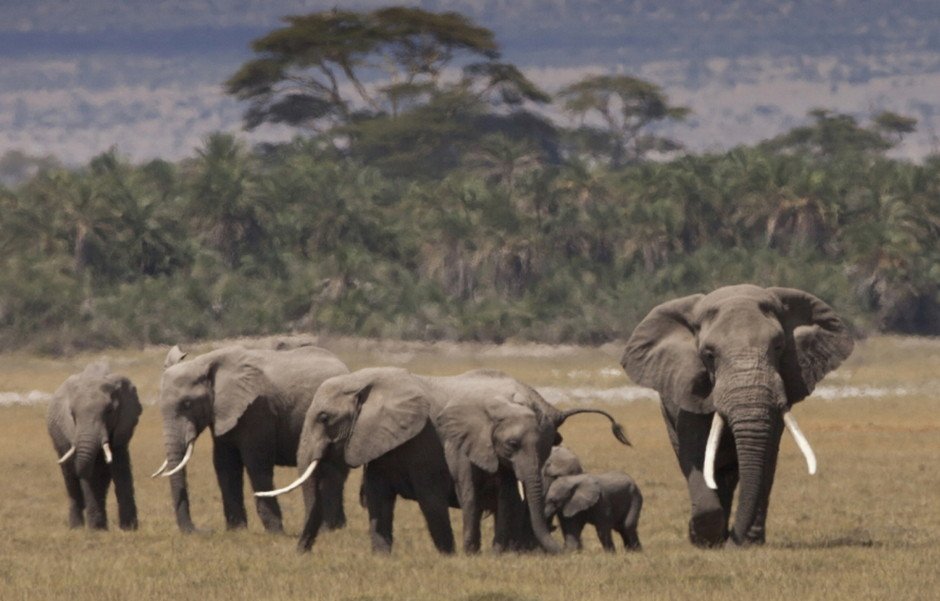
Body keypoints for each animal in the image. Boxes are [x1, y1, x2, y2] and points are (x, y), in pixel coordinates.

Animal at [46, 360, 141, 528]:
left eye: (109, 411)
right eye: (72, 414)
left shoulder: (123, 425)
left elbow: (121, 468)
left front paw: (129, 529)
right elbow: (88, 477)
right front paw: (97, 530)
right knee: (70, 480)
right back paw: (76, 527)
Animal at [153, 344, 348, 532]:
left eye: (187, 404)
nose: (201, 530)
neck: (206, 361)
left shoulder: (257, 409)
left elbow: (257, 463)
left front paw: (275, 532)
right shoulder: (222, 413)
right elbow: (225, 464)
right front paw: (237, 531)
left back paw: (331, 530)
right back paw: (338, 528)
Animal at [620, 284, 856, 548]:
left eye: (778, 347)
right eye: (709, 354)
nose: (735, 540)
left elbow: (766, 457)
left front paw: (745, 543)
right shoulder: (688, 389)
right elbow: (697, 451)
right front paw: (703, 540)